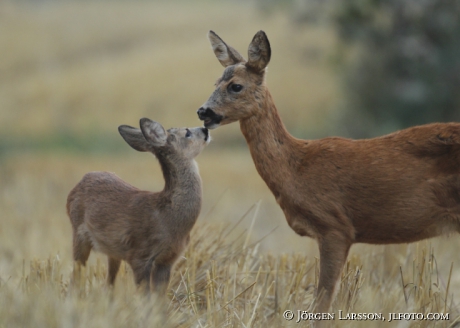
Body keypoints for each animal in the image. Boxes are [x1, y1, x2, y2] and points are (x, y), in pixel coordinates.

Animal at [197, 30, 460, 312]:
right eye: (215, 82)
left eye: (235, 86)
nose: (203, 111)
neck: (296, 168)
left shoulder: (335, 226)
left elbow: (322, 302)